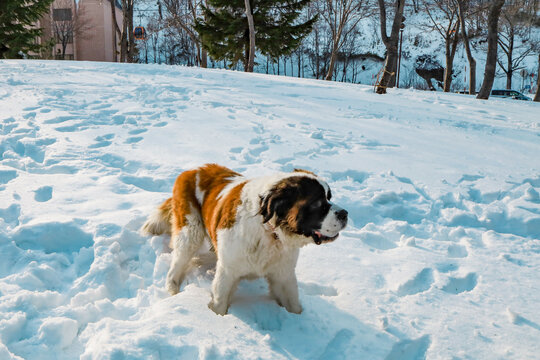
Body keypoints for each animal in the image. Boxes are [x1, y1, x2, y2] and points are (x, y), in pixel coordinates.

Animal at [141, 164, 348, 316]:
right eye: (317, 203)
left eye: (329, 197)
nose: (345, 214)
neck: (269, 231)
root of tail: (193, 170)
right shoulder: (228, 272)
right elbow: (220, 302)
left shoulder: (283, 274)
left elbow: (292, 304)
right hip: (190, 231)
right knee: (178, 262)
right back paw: (173, 290)